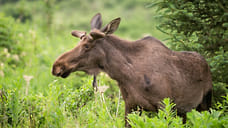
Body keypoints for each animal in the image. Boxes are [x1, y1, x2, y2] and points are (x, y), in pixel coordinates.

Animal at [52, 13, 213, 127]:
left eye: (86, 46)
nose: (57, 66)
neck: (125, 75)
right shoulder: (131, 106)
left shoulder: (165, 106)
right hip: (184, 111)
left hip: (205, 103)